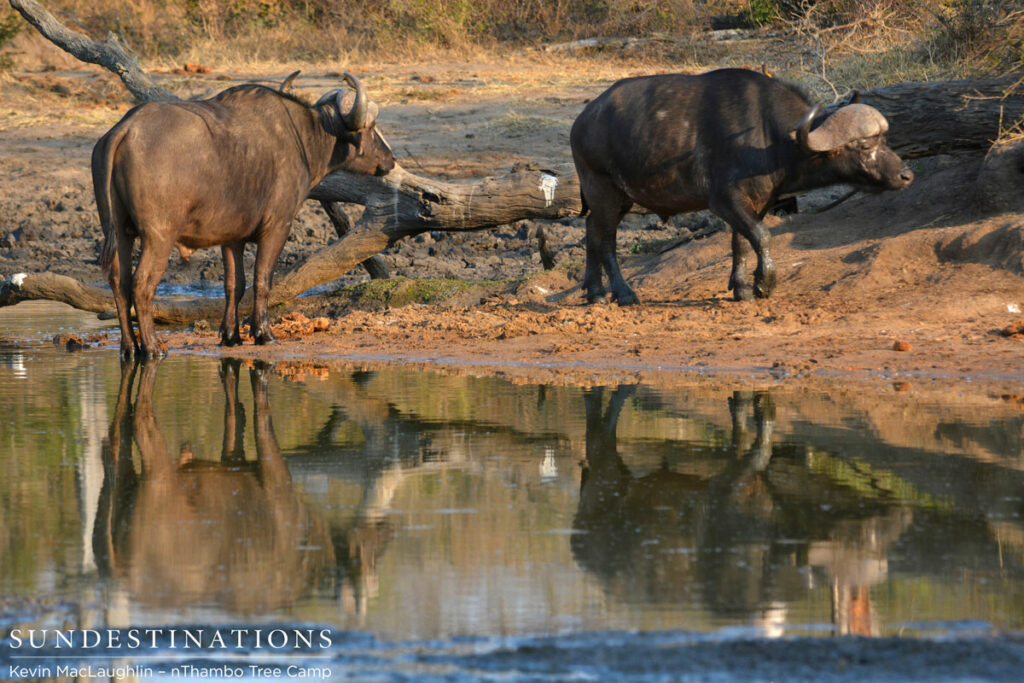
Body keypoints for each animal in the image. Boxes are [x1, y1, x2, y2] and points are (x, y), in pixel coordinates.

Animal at [92, 72, 395, 358]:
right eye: (372, 128)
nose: (391, 159)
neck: (301, 137)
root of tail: (126, 127)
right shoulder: (277, 227)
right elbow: (263, 280)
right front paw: (263, 333)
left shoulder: (232, 239)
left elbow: (234, 285)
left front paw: (230, 335)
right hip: (159, 237)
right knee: (142, 285)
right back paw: (152, 347)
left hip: (119, 233)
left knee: (119, 283)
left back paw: (129, 347)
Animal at [570, 68, 914, 304]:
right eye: (864, 145)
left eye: (884, 139)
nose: (905, 175)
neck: (769, 136)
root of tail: (582, 120)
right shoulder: (724, 200)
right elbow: (762, 236)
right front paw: (764, 283)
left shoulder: (756, 203)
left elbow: (742, 242)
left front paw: (742, 287)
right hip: (604, 190)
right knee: (606, 240)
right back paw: (624, 293)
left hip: (619, 198)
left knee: (591, 230)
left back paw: (595, 291)